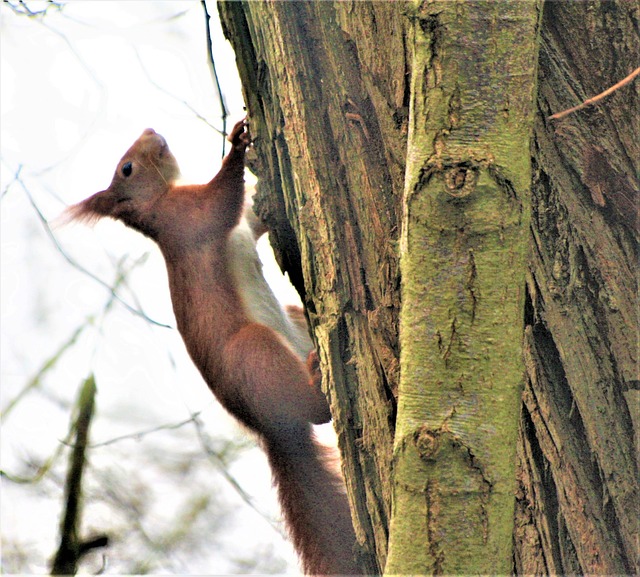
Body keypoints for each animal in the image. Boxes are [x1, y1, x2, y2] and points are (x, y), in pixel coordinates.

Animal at [70, 119, 362, 572]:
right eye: (127, 168)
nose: (150, 129)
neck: (157, 204)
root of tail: (268, 429)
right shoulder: (188, 216)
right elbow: (221, 203)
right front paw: (238, 144)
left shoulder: (232, 221)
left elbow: (254, 214)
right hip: (252, 350)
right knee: (314, 412)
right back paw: (317, 381)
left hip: (294, 322)